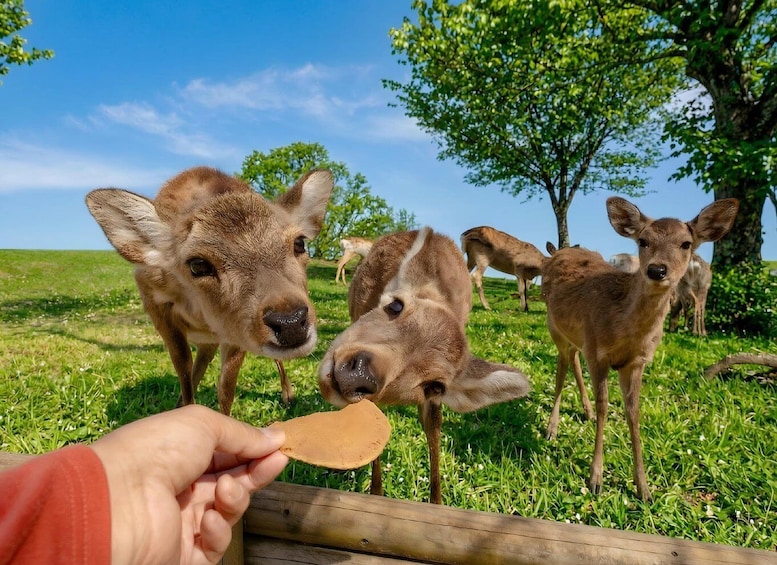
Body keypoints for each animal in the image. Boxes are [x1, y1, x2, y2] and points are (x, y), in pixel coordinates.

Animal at [86, 166, 334, 414]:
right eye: (198, 264)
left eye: (299, 243)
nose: (290, 321)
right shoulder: (153, 300)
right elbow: (183, 367)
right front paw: (186, 409)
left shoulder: (234, 329)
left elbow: (226, 387)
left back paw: (288, 396)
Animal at [319, 227, 531, 504]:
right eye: (395, 305)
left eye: (435, 386)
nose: (359, 374)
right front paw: (376, 493)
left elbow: (433, 427)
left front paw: (437, 502)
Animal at [541, 196, 739, 500]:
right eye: (643, 241)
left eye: (686, 244)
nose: (657, 270)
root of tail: (558, 253)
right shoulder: (597, 352)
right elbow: (604, 407)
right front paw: (595, 479)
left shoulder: (636, 362)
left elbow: (633, 414)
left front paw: (643, 487)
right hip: (554, 326)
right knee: (561, 370)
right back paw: (552, 428)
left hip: (575, 337)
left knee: (572, 360)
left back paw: (583, 411)